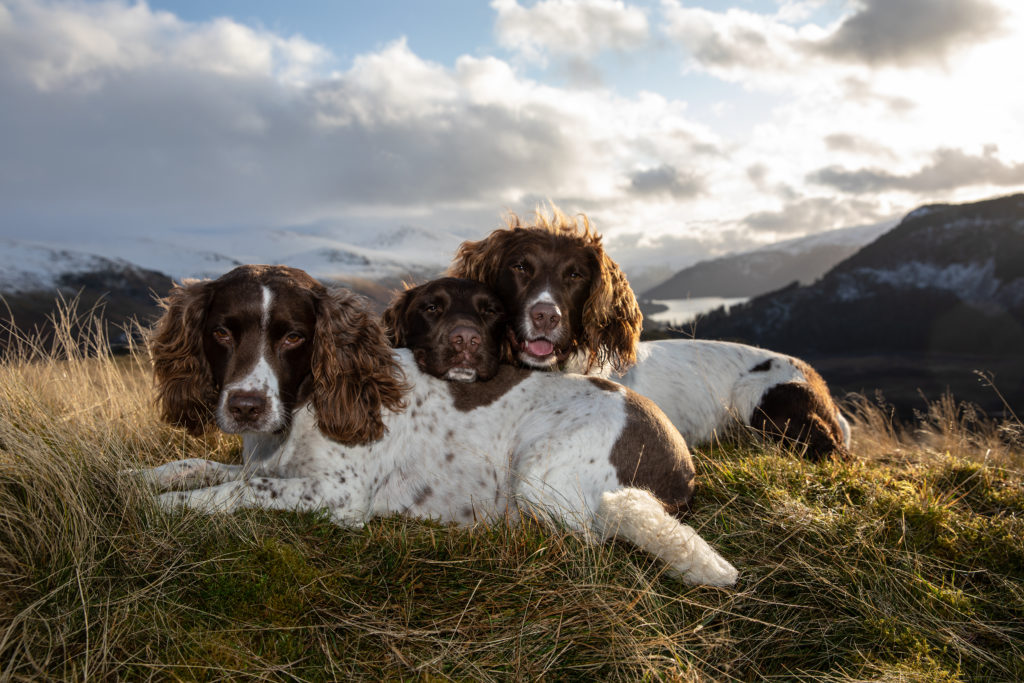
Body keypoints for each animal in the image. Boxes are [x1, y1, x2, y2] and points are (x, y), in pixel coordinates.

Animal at [140, 266, 741, 589]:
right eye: (221, 332)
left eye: (293, 337)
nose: (244, 405)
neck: (308, 406)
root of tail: (682, 463)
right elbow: (203, 466)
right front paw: (145, 479)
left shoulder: (340, 494)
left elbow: (240, 489)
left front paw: (166, 507)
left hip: (541, 475)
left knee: (586, 535)